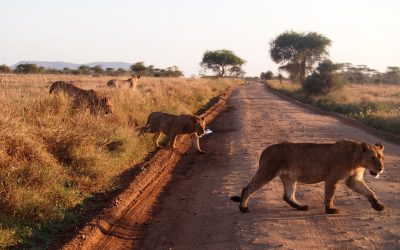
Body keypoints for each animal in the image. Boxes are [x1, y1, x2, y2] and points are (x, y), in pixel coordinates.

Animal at [231, 140, 384, 214]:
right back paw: (243, 208)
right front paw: (330, 210)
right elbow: (330, 195)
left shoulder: (354, 180)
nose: (381, 168)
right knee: (248, 188)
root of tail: (267, 149)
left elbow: (369, 192)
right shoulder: (332, 177)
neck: (357, 159)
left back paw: (301, 207)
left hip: (289, 177)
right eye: (373, 158)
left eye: (382, 157)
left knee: (288, 195)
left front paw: (378, 205)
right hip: (267, 171)